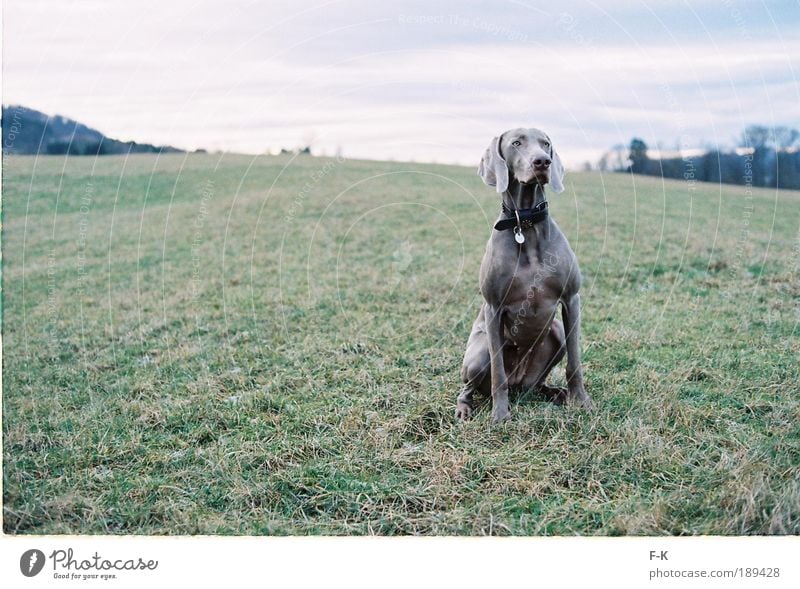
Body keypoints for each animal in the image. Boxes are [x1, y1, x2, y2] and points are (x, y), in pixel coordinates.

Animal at [456, 126, 592, 420]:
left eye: (546, 143)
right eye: (517, 143)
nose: (543, 161)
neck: (525, 222)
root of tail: (520, 384)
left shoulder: (572, 299)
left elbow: (575, 361)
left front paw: (581, 400)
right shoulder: (493, 308)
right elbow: (498, 373)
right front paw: (500, 415)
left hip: (555, 333)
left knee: (538, 381)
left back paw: (554, 392)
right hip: (477, 355)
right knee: (470, 385)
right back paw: (464, 407)